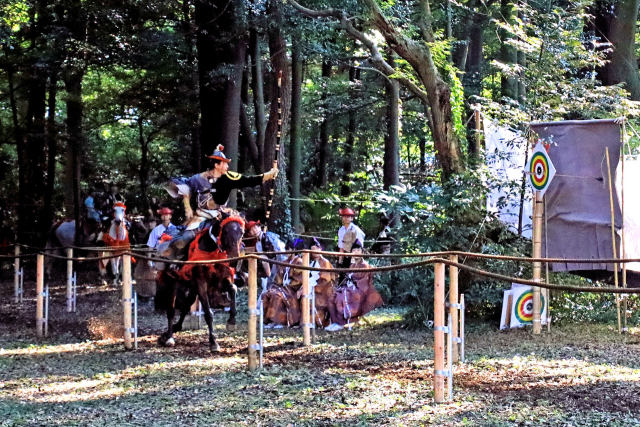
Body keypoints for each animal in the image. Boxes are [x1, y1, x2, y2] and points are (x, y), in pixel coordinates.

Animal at [155, 213, 245, 352]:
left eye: (241, 232)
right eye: (225, 231)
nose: (234, 261)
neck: (211, 251)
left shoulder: (222, 280)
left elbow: (233, 288)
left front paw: (231, 320)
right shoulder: (201, 283)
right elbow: (208, 313)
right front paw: (213, 342)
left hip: (191, 287)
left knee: (186, 305)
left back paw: (173, 330)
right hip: (172, 282)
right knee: (171, 310)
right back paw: (169, 337)